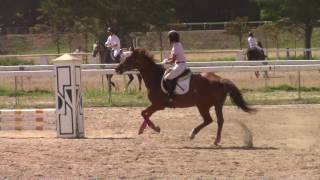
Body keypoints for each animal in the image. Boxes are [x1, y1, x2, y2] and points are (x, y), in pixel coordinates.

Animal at [115, 47, 255, 145]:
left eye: (128, 59)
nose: (117, 69)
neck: (155, 78)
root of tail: (220, 80)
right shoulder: (156, 105)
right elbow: (146, 114)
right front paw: (142, 129)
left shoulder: (158, 105)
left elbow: (144, 113)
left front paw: (155, 128)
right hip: (217, 105)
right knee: (220, 121)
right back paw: (216, 140)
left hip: (202, 105)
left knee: (208, 120)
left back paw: (192, 134)